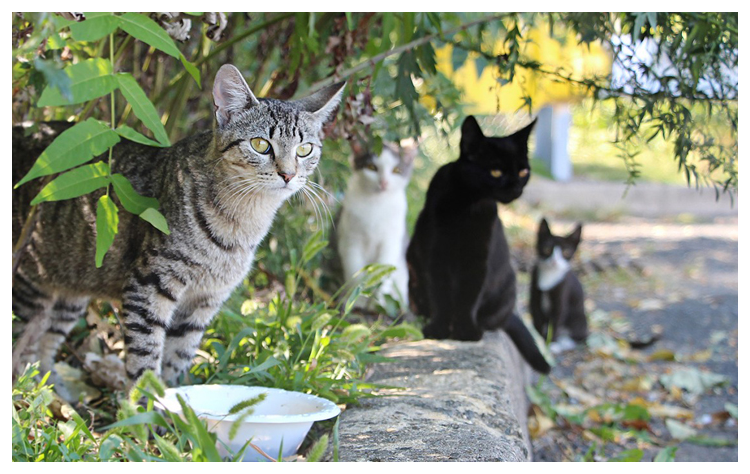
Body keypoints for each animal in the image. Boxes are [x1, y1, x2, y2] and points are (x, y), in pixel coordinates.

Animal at [12, 65, 346, 386]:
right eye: (261, 144)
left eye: (304, 150)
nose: (288, 175)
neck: (242, 225)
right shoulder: (149, 285)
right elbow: (145, 356)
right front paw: (146, 403)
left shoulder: (204, 302)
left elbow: (178, 356)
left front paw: (177, 400)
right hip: (29, 286)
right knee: (23, 347)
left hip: (71, 290)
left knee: (43, 347)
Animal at [406, 115, 552, 374]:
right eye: (495, 171)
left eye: (523, 171)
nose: (516, 188)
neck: (467, 204)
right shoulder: (435, 256)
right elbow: (440, 294)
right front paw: (439, 329)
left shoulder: (478, 259)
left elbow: (468, 296)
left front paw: (465, 331)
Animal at [532, 218, 592, 352]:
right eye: (547, 249)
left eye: (566, 252)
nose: (554, 261)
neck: (549, 275)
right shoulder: (535, 296)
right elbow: (537, 321)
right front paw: (539, 341)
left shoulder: (562, 296)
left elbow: (556, 323)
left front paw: (550, 344)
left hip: (578, 319)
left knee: (579, 337)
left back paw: (563, 344)